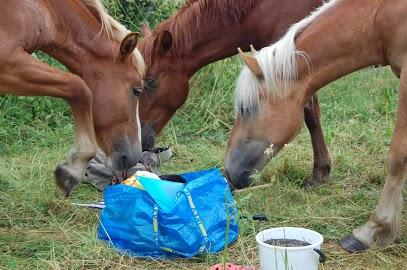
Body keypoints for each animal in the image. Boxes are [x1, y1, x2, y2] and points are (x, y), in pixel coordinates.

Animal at [0, 0, 147, 195]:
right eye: (137, 91)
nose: (135, 156)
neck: (46, 8)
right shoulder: (8, 62)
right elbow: (79, 88)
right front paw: (73, 168)